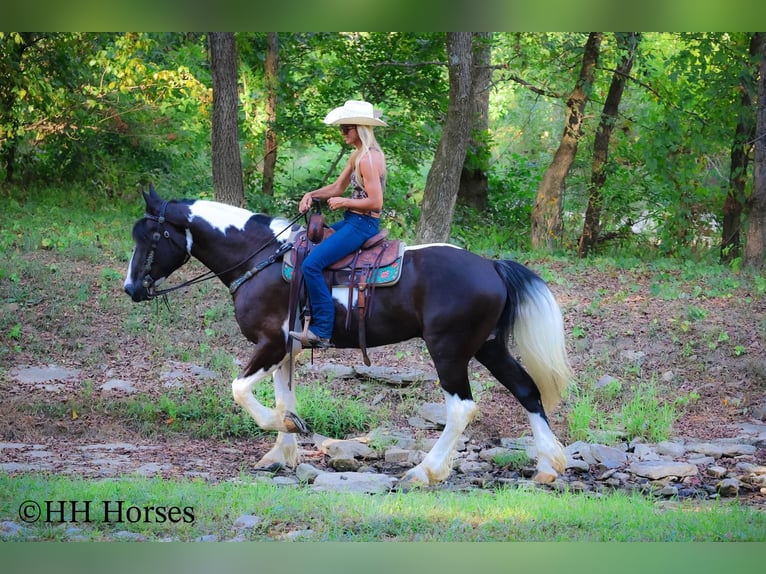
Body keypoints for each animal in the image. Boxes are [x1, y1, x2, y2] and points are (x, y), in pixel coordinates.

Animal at [123, 186, 573, 488]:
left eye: (151, 237)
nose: (131, 289)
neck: (261, 257)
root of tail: (491, 266)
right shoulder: (286, 350)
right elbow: (284, 397)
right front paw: (281, 450)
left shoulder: (270, 343)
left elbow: (240, 390)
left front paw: (284, 428)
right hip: (487, 346)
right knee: (527, 389)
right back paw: (548, 467)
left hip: (449, 351)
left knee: (462, 408)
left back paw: (423, 471)